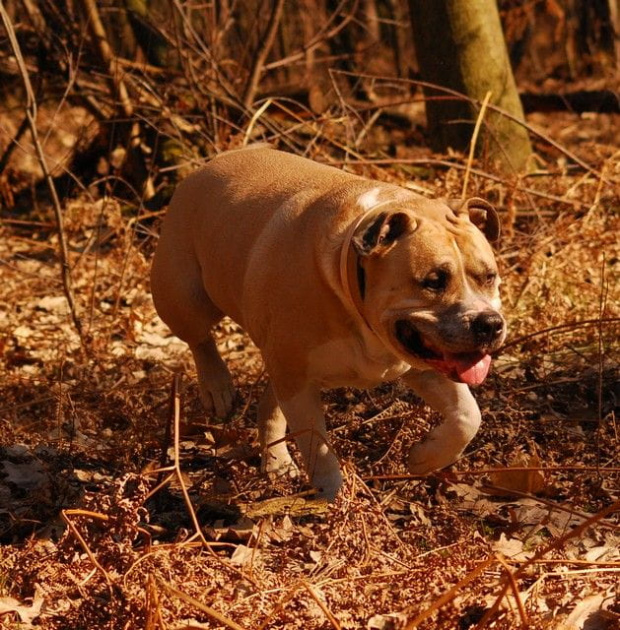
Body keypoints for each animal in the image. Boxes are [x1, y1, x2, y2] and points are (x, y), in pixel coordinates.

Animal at [150, 146, 504, 502]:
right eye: (433, 281)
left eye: (489, 276)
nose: (489, 323)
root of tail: (207, 166)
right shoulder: (299, 384)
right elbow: (319, 451)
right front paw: (333, 501)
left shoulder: (425, 366)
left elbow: (468, 416)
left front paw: (425, 458)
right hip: (186, 297)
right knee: (199, 339)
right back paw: (217, 387)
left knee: (269, 403)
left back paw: (278, 462)